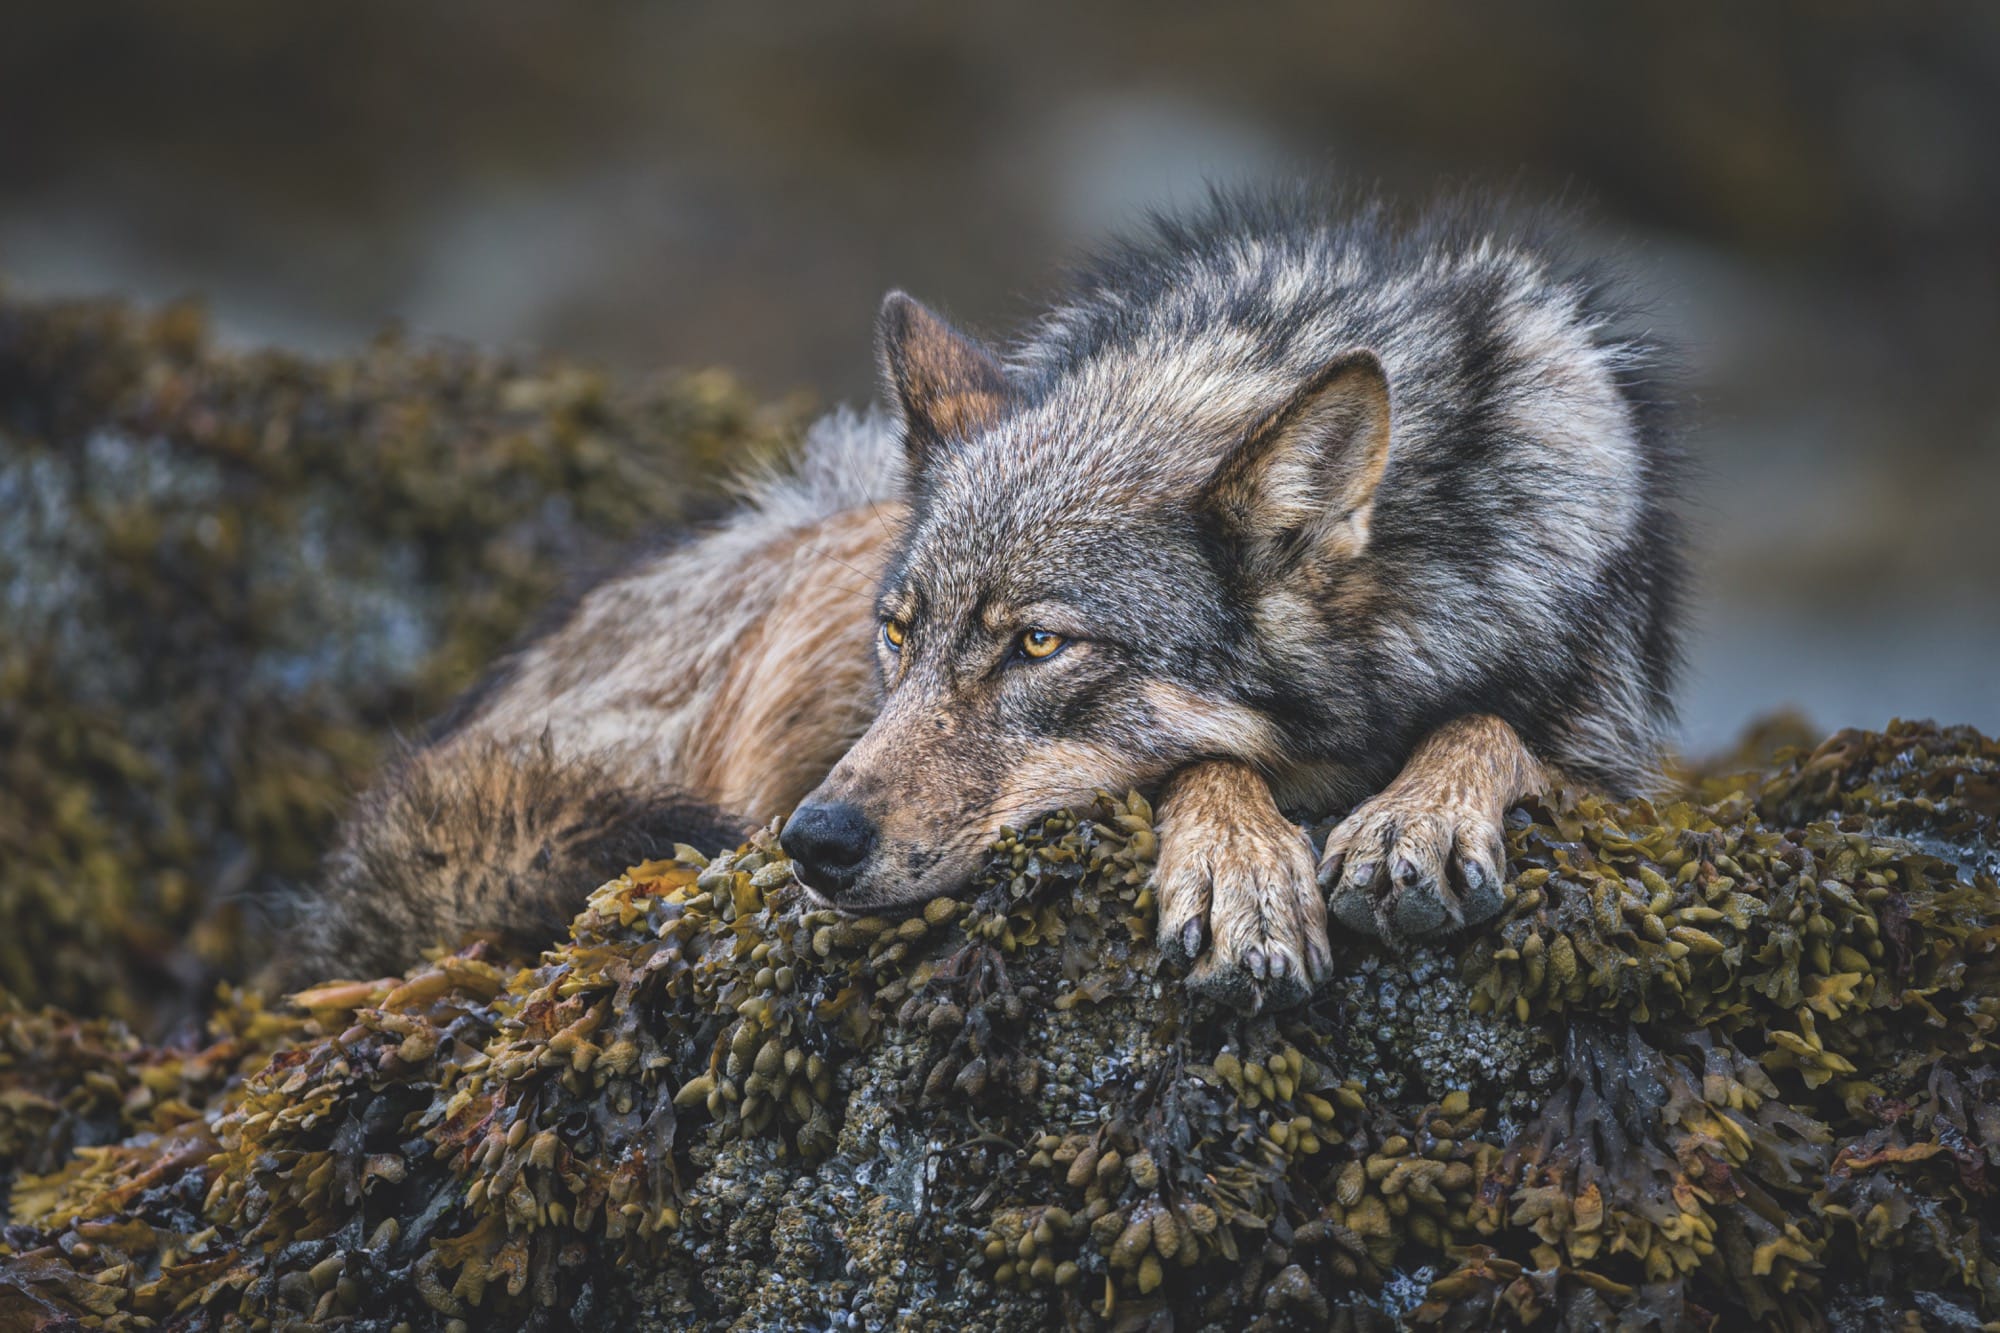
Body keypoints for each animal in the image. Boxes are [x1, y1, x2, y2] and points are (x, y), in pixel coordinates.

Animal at [289, 187, 1683, 1012]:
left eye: (1037, 645)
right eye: (900, 638)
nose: (815, 843)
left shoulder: (1608, 747)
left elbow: (1493, 728)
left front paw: (1414, 815)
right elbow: (1205, 760)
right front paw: (1239, 868)